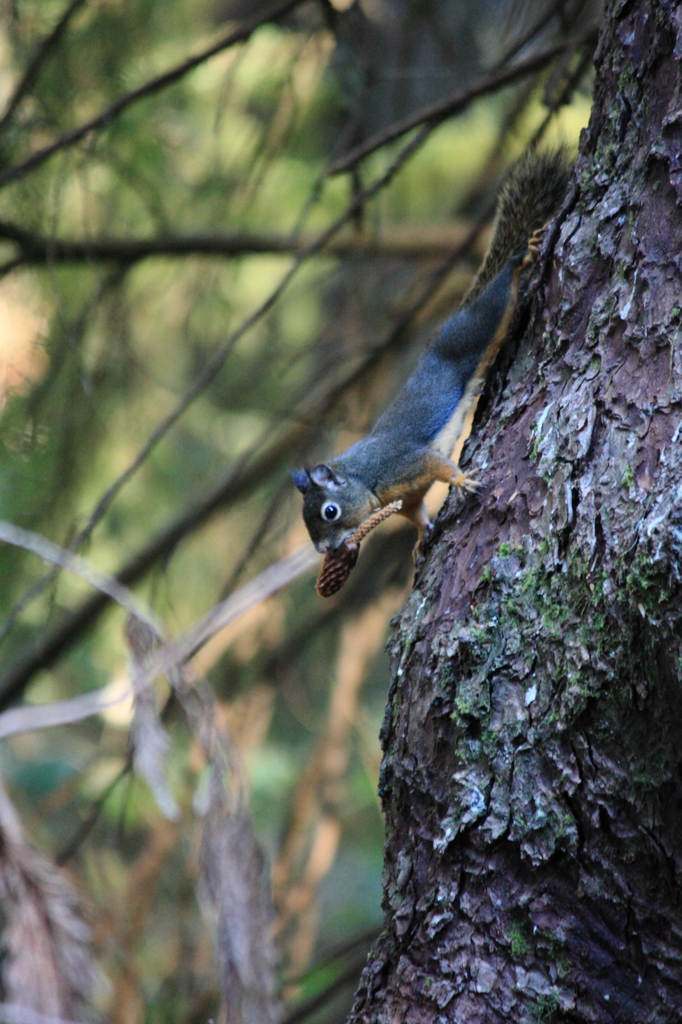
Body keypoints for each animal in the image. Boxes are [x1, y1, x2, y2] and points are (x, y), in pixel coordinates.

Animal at [290, 148, 569, 557]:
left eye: (329, 511)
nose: (325, 550)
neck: (367, 477)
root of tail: (453, 318)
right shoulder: (407, 498)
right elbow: (417, 513)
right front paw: (422, 538)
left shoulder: (407, 461)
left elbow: (440, 467)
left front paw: (462, 481)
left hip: (478, 324)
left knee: (503, 287)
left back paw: (522, 259)